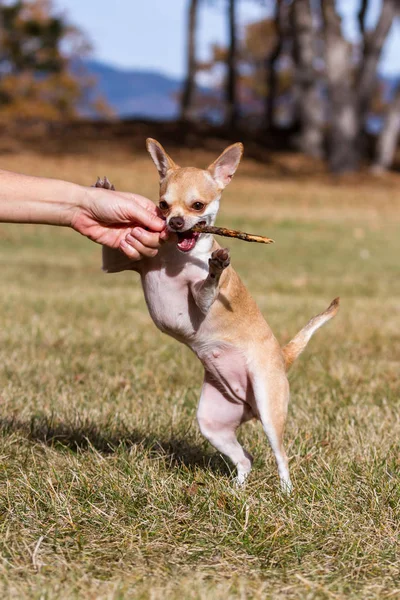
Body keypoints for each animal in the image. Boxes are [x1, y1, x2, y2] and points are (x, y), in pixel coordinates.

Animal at [99, 141, 338, 492]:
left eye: (197, 205)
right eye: (163, 205)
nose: (175, 223)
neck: (176, 256)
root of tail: (282, 357)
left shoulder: (201, 301)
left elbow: (205, 287)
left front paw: (215, 266)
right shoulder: (117, 263)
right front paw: (106, 191)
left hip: (269, 408)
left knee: (281, 456)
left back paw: (285, 491)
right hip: (213, 421)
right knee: (245, 458)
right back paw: (237, 489)